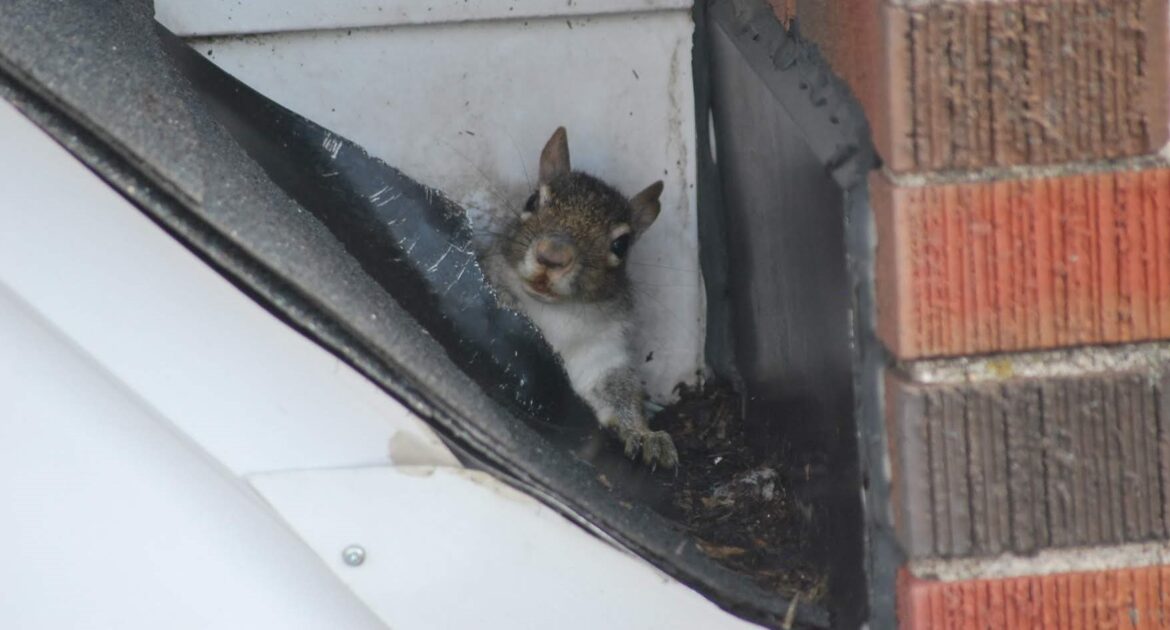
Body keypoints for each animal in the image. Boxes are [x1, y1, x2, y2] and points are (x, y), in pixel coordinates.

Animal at [482, 126, 683, 466]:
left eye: (621, 245)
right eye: (532, 200)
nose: (552, 255)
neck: (554, 313)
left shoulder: (603, 354)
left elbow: (620, 394)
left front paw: (645, 435)